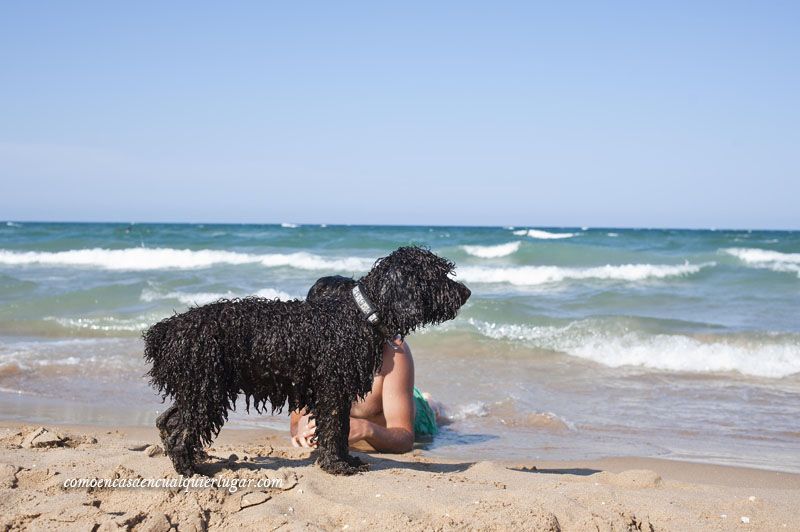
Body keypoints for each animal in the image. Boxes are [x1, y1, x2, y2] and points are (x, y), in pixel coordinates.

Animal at [144, 247, 468, 476]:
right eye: (437, 274)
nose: (466, 292)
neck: (360, 315)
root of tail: (167, 329)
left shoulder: (337, 392)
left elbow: (341, 430)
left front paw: (345, 460)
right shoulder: (333, 390)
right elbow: (334, 429)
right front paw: (337, 466)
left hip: (198, 388)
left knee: (168, 420)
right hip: (205, 391)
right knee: (181, 430)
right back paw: (190, 469)